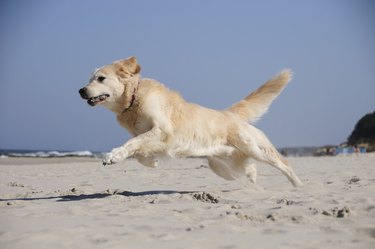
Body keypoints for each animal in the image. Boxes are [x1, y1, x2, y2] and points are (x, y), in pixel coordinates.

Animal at [78, 56, 302, 187]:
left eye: (100, 78)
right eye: (89, 79)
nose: (81, 90)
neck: (133, 99)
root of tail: (230, 114)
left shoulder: (162, 130)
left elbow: (133, 143)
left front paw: (113, 156)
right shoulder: (147, 135)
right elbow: (139, 149)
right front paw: (152, 162)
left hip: (256, 148)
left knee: (284, 163)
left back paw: (297, 185)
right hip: (222, 164)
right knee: (248, 167)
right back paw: (252, 177)